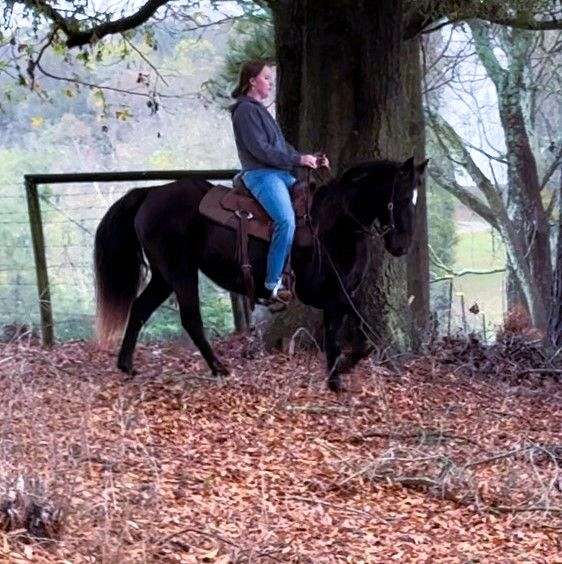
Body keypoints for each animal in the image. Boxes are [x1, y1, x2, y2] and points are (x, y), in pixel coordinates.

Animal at [94, 156, 426, 390]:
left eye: (415, 198)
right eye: (400, 197)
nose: (401, 246)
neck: (335, 224)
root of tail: (150, 193)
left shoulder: (340, 294)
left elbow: (344, 329)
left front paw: (336, 376)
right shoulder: (327, 293)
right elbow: (354, 325)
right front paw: (342, 370)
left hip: (164, 276)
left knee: (140, 308)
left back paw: (126, 365)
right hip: (181, 272)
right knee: (190, 319)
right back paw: (219, 368)